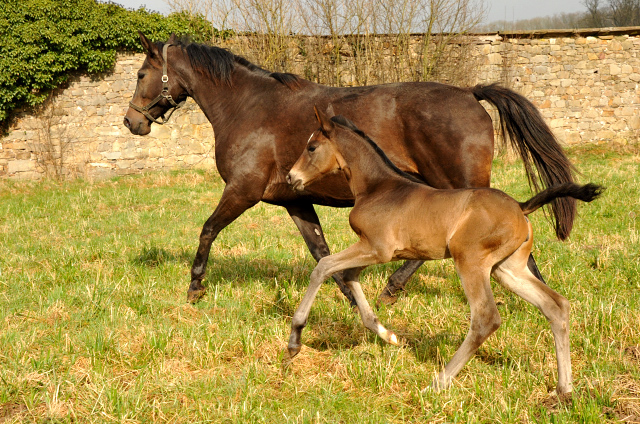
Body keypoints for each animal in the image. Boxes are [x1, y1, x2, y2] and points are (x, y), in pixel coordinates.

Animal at [288, 107, 604, 396]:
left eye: (311, 147)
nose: (291, 178)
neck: (378, 187)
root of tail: (521, 207)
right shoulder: (375, 251)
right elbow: (350, 277)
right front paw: (387, 335)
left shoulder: (377, 248)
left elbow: (324, 267)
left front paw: (295, 338)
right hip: (507, 269)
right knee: (556, 306)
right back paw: (564, 389)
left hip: (470, 261)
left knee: (486, 318)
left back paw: (439, 382)